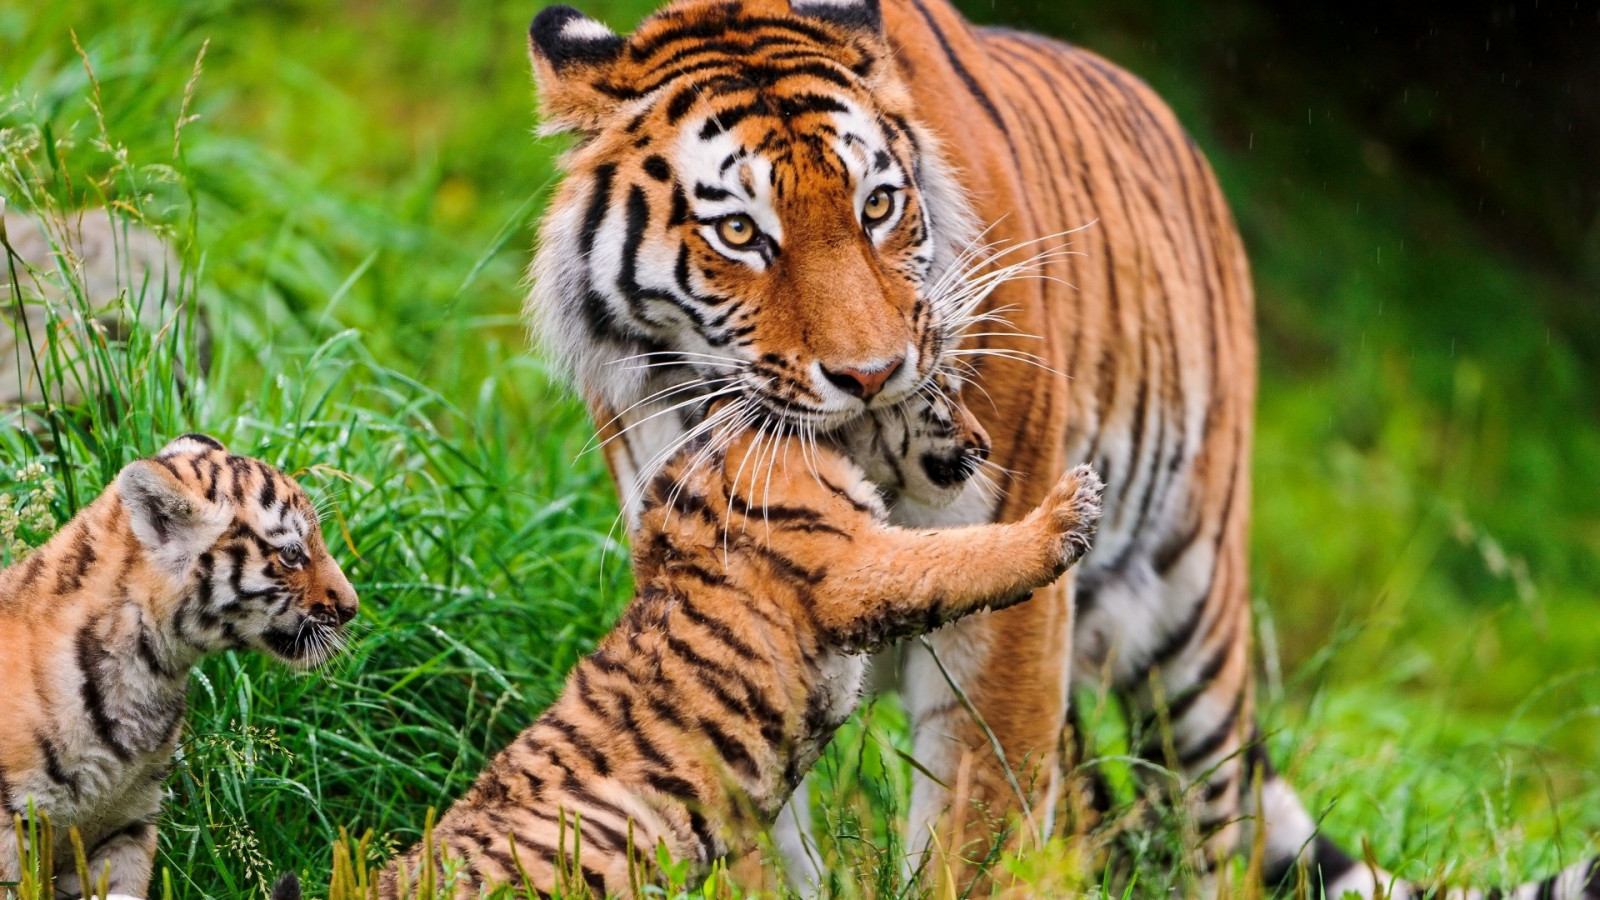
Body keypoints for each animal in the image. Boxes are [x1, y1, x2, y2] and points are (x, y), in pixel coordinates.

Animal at [374, 404, 1103, 898]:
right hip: (602, 831)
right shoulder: (853, 565)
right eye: (941, 389)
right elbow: (960, 556)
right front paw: (1068, 513)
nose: (985, 443)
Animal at [519, 0, 1600, 896]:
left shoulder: (1005, 615)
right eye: (741, 233)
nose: (871, 373)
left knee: (1208, 833)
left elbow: (973, 835)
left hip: (1194, 626)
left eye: (876, 206)